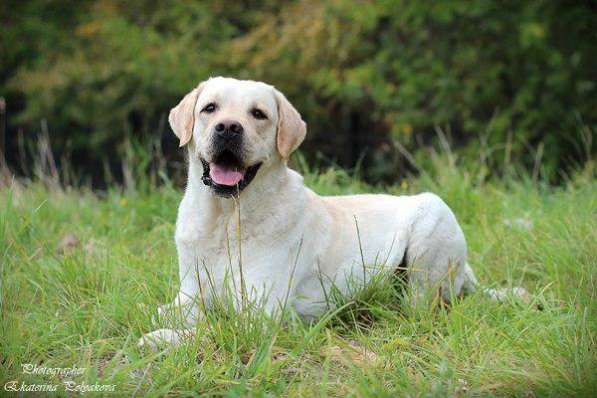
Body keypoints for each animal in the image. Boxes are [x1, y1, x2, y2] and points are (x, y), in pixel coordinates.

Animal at [140, 77, 520, 348]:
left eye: (258, 114)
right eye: (209, 108)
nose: (229, 127)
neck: (224, 218)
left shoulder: (263, 315)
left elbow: (216, 328)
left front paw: (163, 339)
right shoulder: (190, 295)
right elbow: (162, 311)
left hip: (432, 217)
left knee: (423, 306)